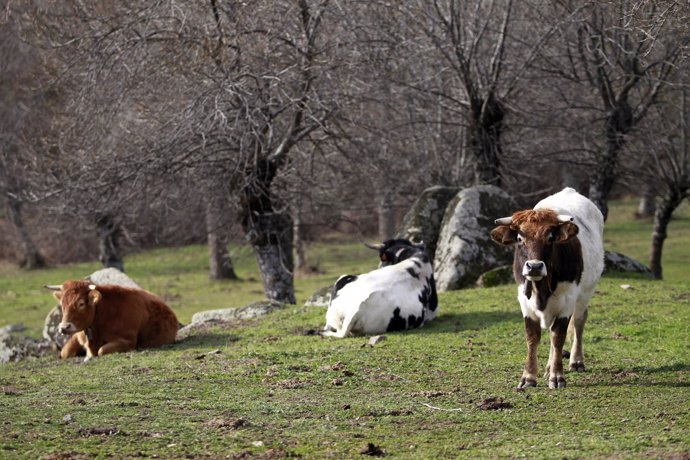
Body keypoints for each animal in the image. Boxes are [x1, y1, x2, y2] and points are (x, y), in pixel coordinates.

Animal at [46, 278, 179, 362]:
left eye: (81, 303)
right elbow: (65, 352)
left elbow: (102, 350)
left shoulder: (128, 341)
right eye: (62, 304)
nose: (64, 327)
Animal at [490, 187, 600, 388]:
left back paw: (576, 360)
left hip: (585, 294)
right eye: (519, 238)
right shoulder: (525, 302)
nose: (534, 266)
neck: (541, 289)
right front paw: (528, 377)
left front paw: (557, 376)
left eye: (550, 238)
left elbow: (558, 336)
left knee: (578, 322)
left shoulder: (567, 301)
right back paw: (548, 367)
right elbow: (533, 336)